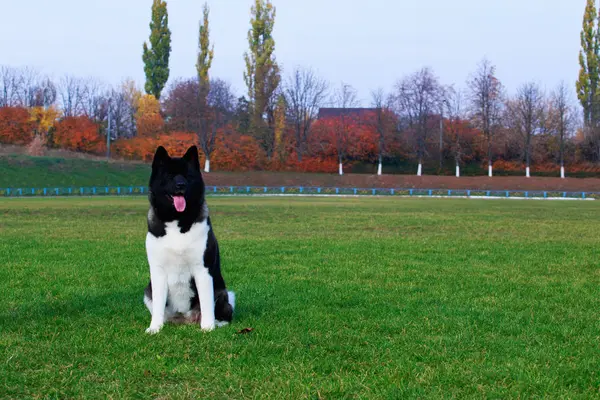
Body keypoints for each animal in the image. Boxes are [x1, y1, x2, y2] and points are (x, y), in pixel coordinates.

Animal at [143, 145, 234, 332]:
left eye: (187, 176)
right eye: (170, 175)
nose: (181, 185)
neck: (177, 220)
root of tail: (185, 319)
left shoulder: (203, 270)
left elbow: (206, 303)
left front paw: (208, 328)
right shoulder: (158, 272)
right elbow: (158, 305)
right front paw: (155, 328)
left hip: (221, 291)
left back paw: (218, 322)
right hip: (147, 291)